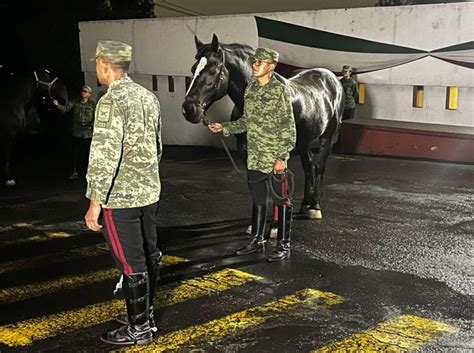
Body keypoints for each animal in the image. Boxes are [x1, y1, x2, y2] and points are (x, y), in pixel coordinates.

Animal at [182, 34, 344, 219]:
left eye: (212, 71)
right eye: (193, 69)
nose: (189, 109)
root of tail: (332, 78)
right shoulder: (246, 150)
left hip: (327, 137)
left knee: (319, 167)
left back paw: (315, 207)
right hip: (304, 141)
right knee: (309, 166)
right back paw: (305, 205)